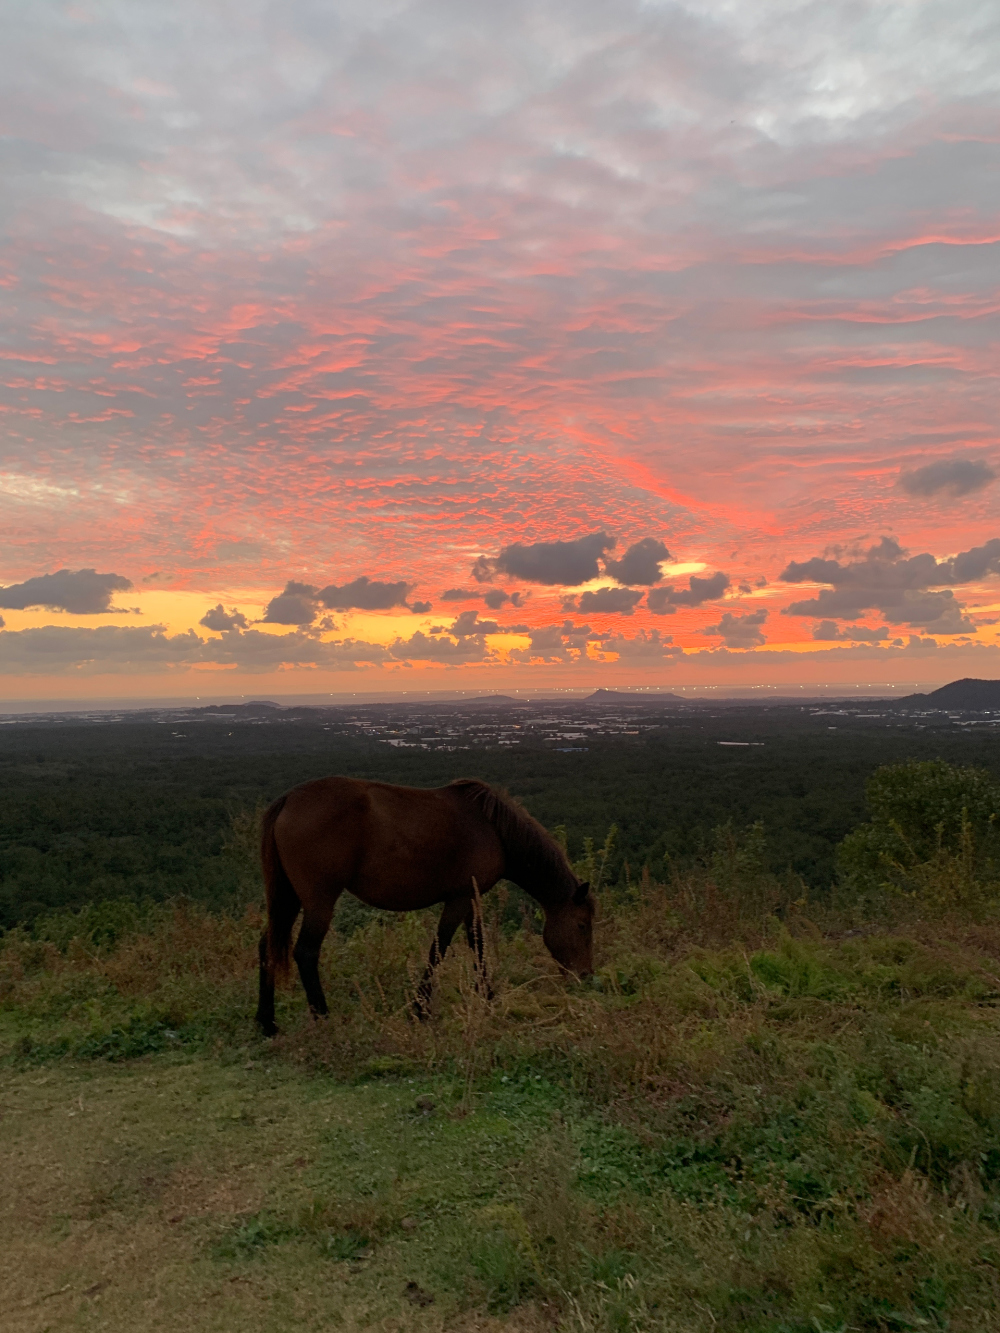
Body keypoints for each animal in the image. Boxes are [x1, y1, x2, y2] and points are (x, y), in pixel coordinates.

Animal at [254, 778, 594, 1034]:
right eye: (582, 925)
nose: (586, 976)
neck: (492, 828)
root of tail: (289, 799)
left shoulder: (470, 900)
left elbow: (477, 944)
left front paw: (487, 997)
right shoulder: (459, 899)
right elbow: (439, 949)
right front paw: (420, 1010)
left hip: (289, 897)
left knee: (267, 945)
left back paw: (267, 1023)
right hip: (319, 901)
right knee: (305, 952)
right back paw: (324, 1017)